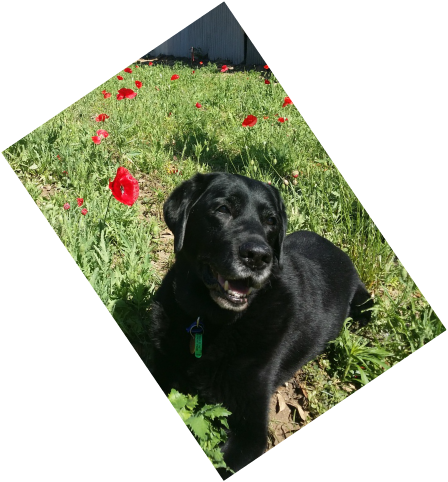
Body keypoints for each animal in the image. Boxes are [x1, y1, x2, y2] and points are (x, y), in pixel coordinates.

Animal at [149, 171, 372, 476]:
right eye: (223, 209)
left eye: (271, 221)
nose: (258, 256)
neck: (210, 320)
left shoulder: (250, 432)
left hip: (361, 299)